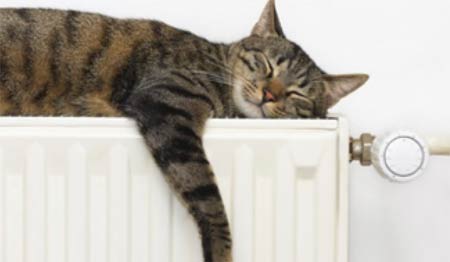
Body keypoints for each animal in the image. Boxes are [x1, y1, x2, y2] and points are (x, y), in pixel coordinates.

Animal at [0, 1, 368, 260]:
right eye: (267, 65)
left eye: (297, 94)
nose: (269, 94)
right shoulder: (166, 104)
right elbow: (208, 198)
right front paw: (221, 251)